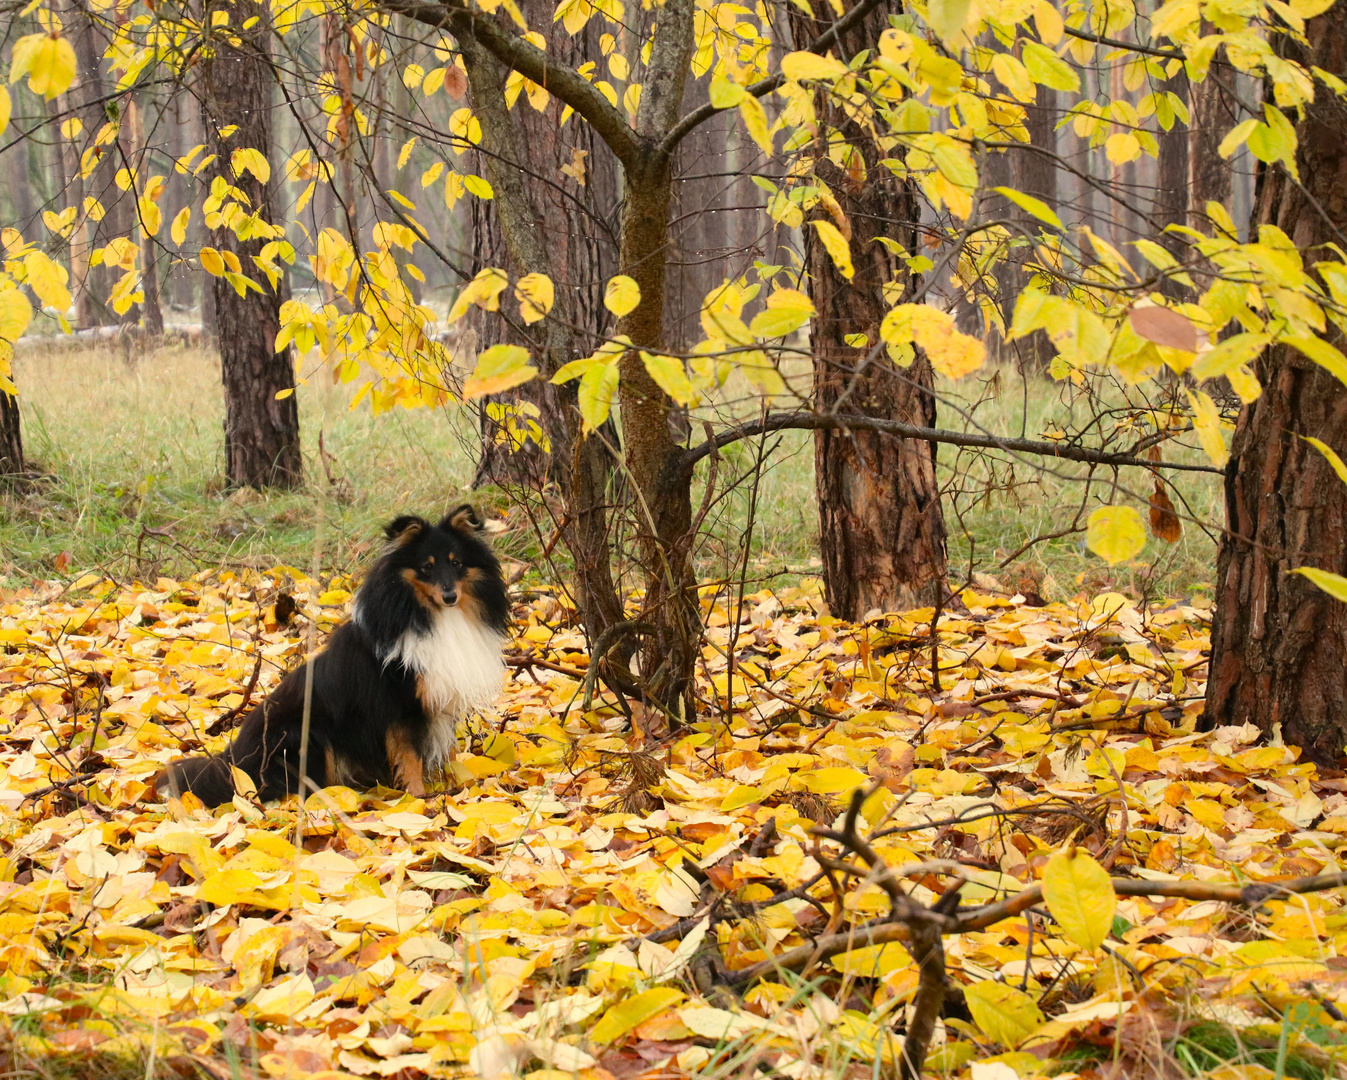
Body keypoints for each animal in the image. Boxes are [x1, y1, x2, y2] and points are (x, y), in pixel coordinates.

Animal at [157, 506, 511, 797]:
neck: (432, 616)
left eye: (457, 563)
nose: (450, 596)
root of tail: (233, 760)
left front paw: (456, 784)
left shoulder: (440, 698)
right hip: (305, 735)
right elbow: (409, 757)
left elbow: (447, 751)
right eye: (426, 567)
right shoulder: (398, 706)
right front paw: (418, 799)